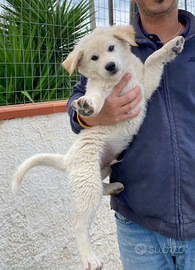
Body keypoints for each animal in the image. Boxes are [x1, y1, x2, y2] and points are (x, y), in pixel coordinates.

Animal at [12, 26, 184, 270]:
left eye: (111, 48)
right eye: (94, 58)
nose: (110, 66)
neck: (117, 79)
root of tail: (66, 159)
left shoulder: (145, 85)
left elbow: (152, 59)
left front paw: (172, 47)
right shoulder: (100, 89)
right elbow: (94, 95)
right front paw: (86, 105)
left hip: (102, 169)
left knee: (101, 188)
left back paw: (113, 187)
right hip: (87, 179)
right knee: (79, 223)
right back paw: (89, 257)